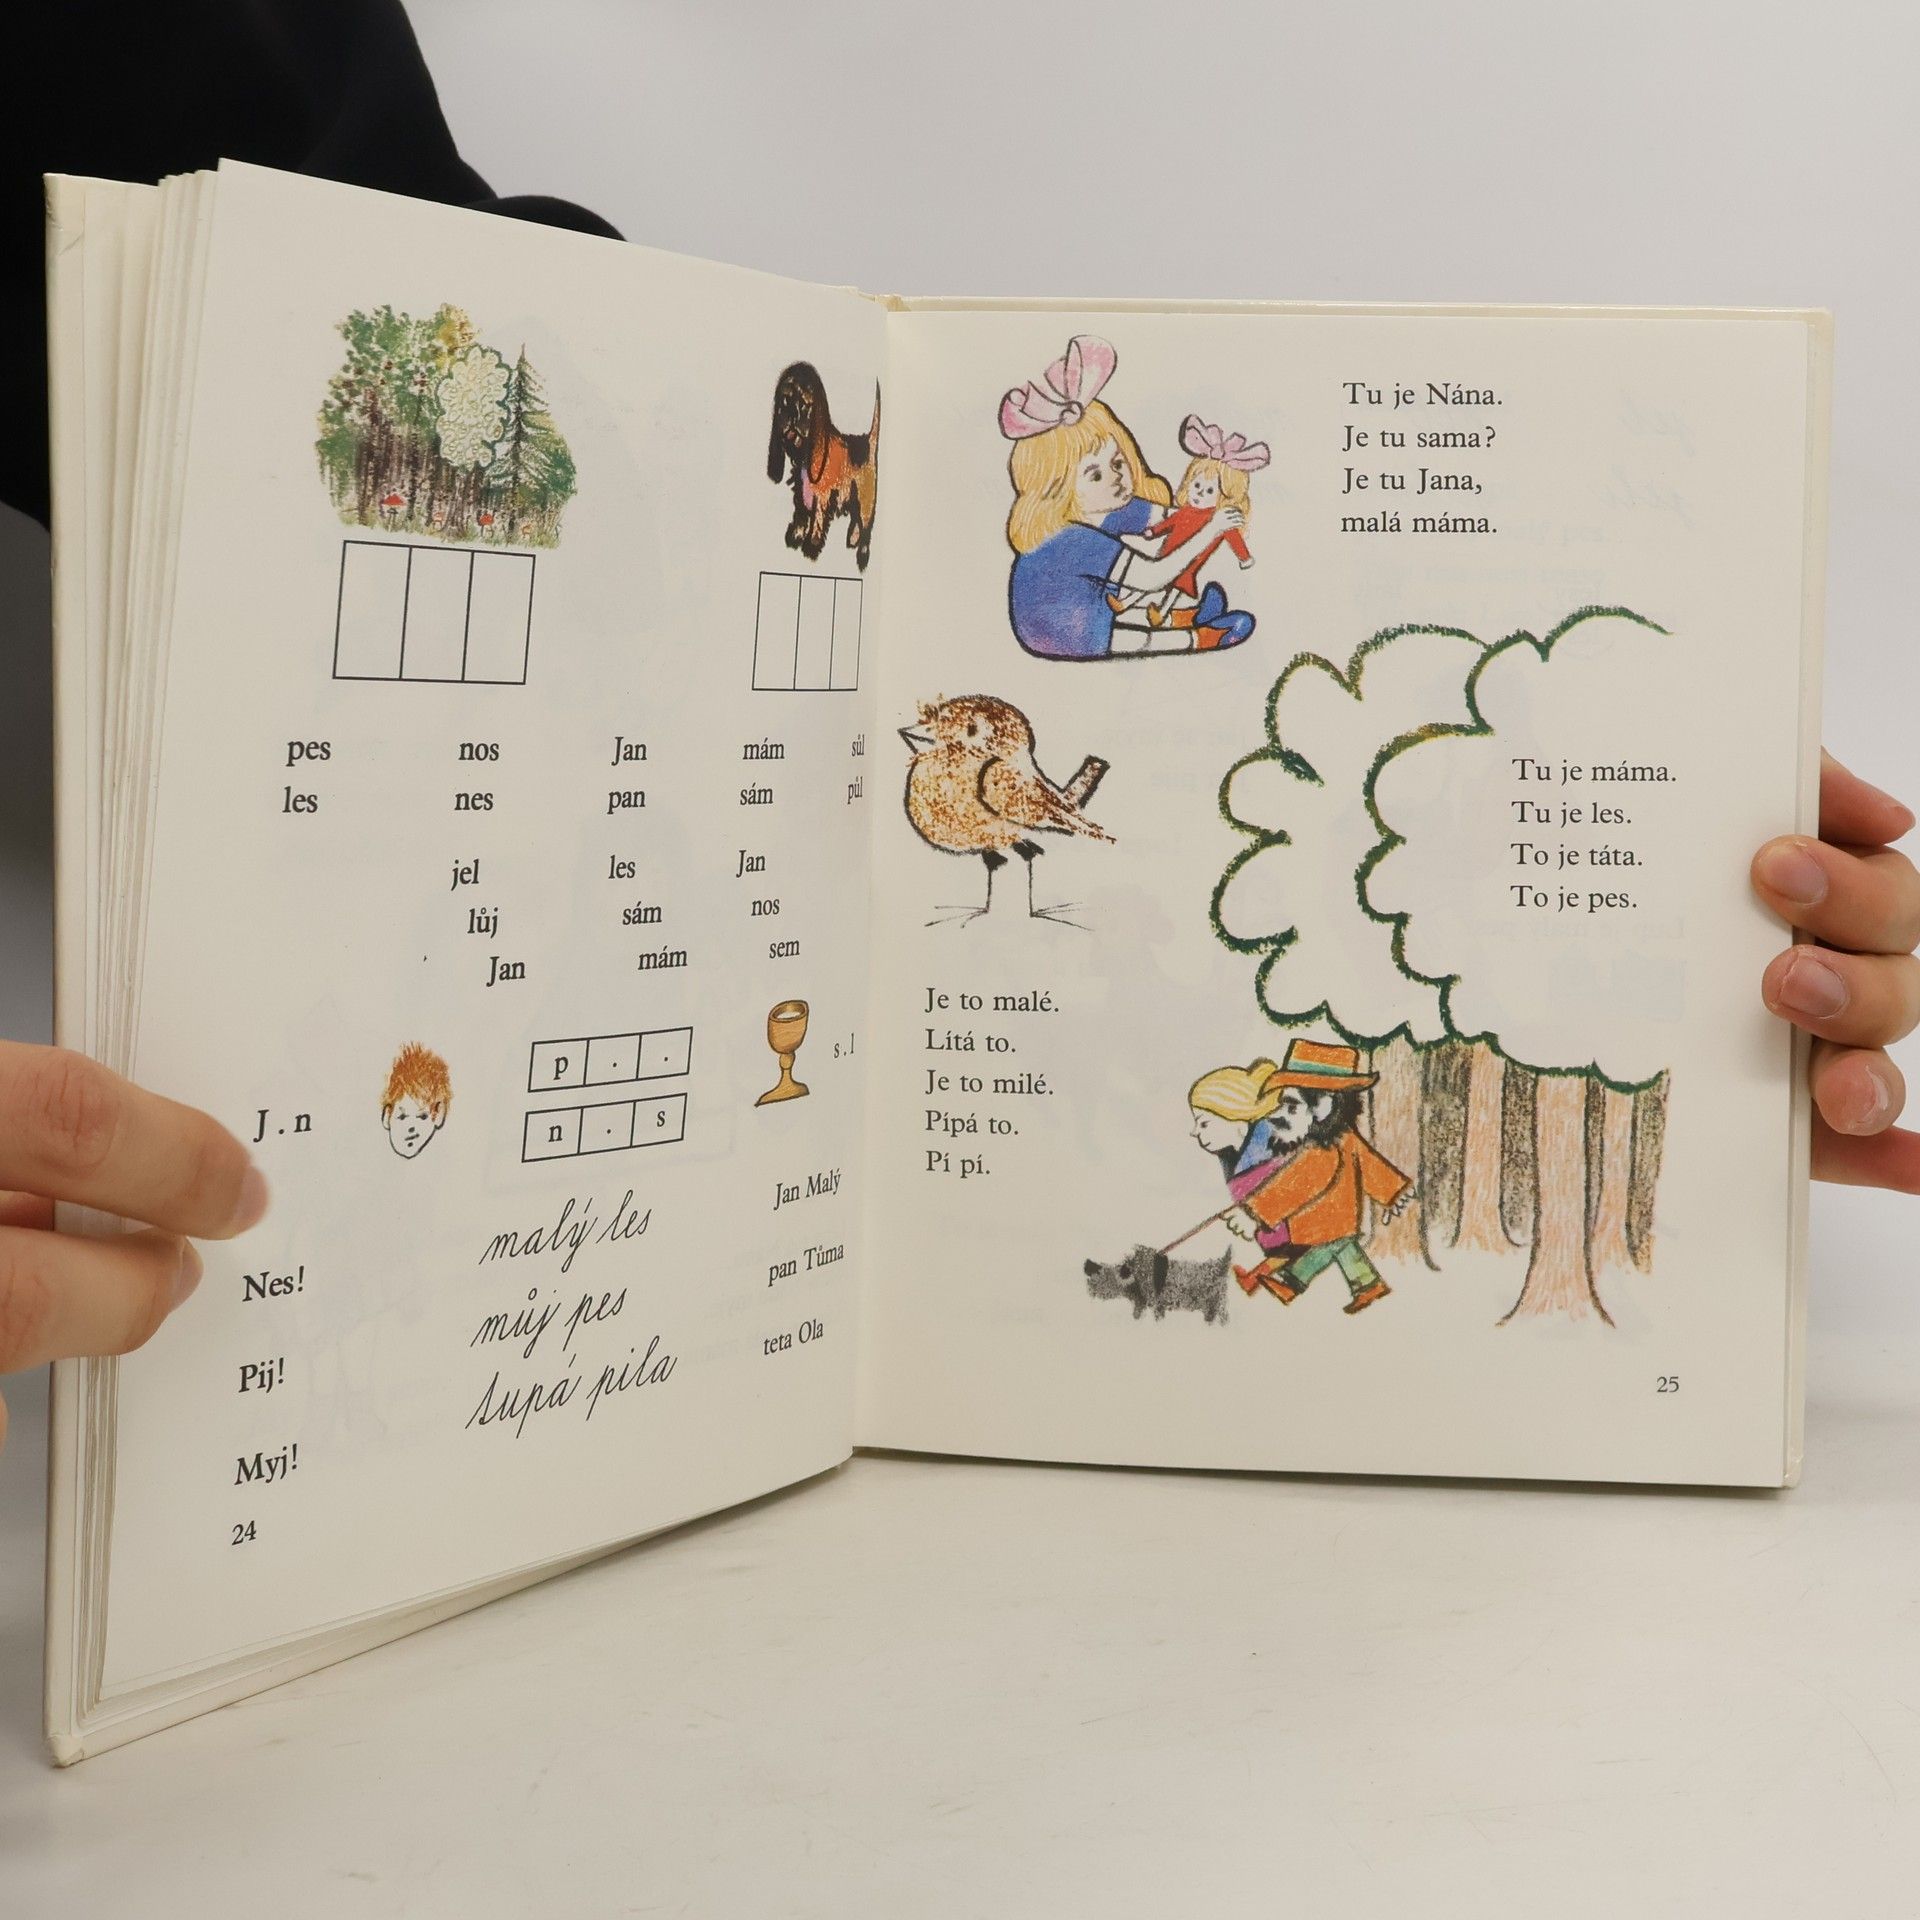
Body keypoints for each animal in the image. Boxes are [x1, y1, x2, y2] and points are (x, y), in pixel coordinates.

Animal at [767, 363, 879, 571]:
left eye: (804, 403)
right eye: (785, 398)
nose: (791, 415)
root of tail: (867, 443)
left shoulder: (823, 494)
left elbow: (817, 520)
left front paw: (811, 547)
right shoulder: (802, 490)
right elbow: (801, 514)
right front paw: (795, 537)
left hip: (865, 498)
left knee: (866, 526)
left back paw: (862, 556)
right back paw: (853, 539)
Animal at [1083, 1246, 1231, 1324]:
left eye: (1098, 1277)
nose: (1089, 1290)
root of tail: (1221, 1267)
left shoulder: (1158, 1303)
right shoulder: (1144, 1302)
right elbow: (1137, 1314)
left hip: (1216, 1305)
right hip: (1212, 1307)